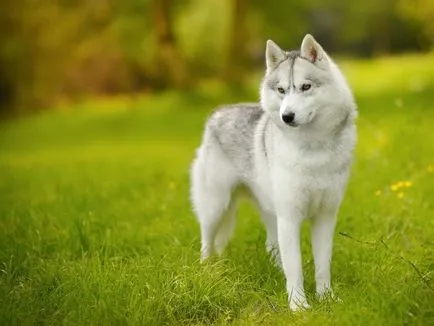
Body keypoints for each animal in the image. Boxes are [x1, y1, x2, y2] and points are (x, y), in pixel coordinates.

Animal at [190, 33, 356, 310]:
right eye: (281, 90)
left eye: (306, 87)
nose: (286, 116)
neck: (313, 149)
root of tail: (218, 112)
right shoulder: (290, 217)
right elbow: (296, 268)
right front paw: (299, 306)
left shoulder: (325, 216)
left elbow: (323, 265)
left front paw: (326, 298)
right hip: (216, 206)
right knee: (207, 243)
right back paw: (207, 270)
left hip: (267, 210)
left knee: (270, 245)